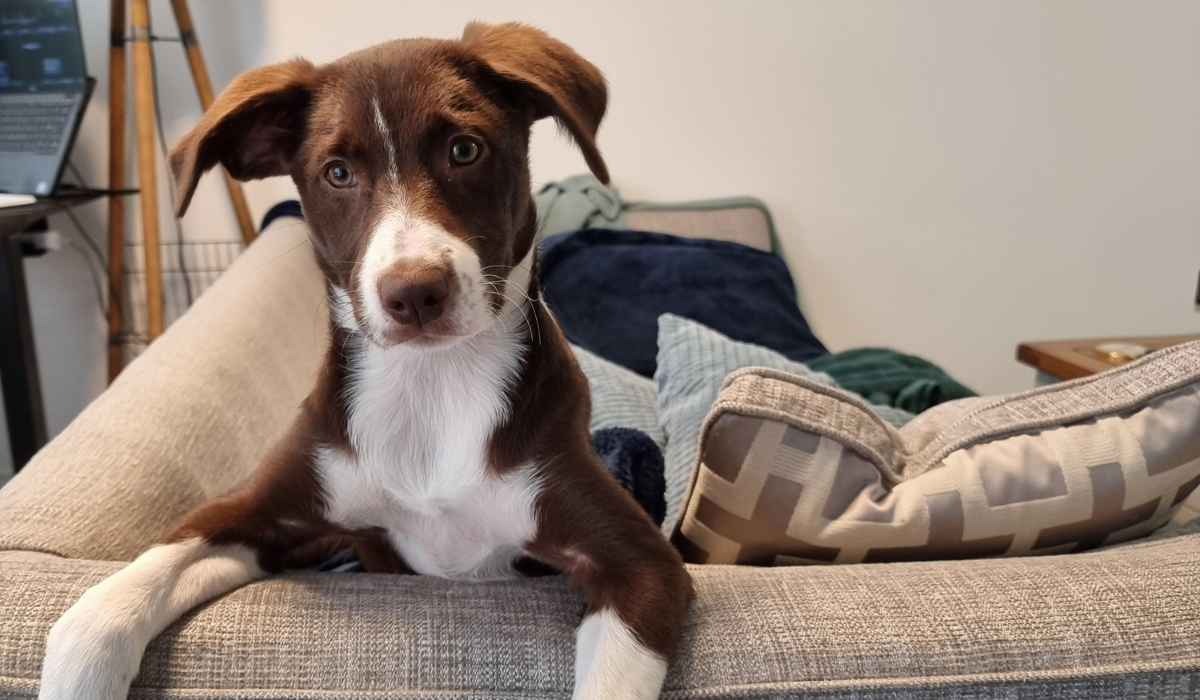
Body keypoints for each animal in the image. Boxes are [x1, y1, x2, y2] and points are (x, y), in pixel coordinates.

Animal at [39, 21, 696, 700]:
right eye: (337, 172)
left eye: (465, 149)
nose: (415, 293)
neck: (432, 384)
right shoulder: (260, 509)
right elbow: (126, 586)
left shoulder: (639, 563)